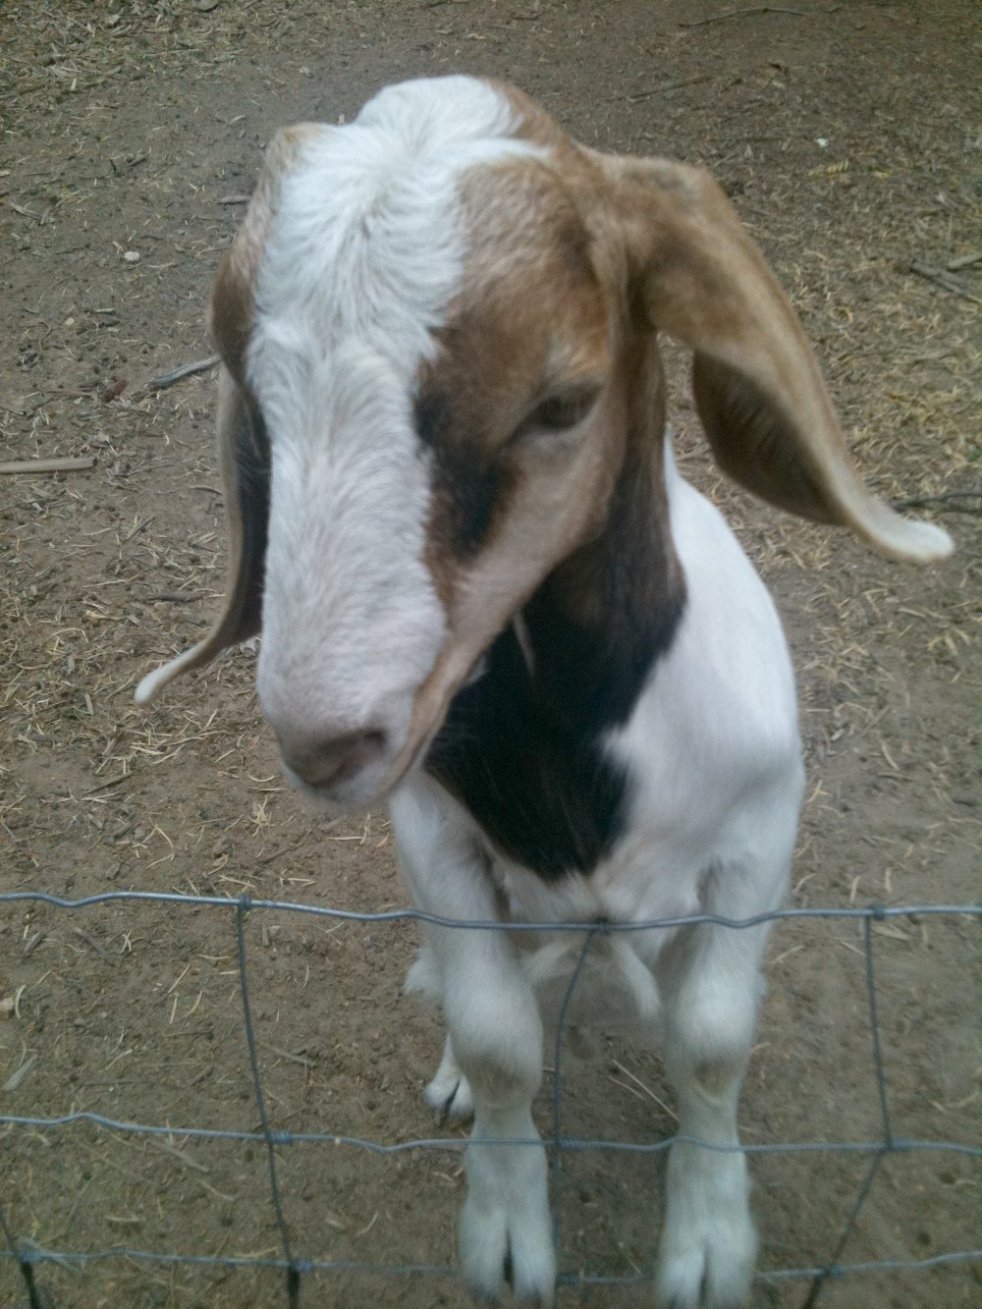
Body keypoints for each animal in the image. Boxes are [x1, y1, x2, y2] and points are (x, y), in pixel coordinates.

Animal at [136, 76, 952, 1307]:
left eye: (562, 403)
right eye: (258, 408)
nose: (324, 740)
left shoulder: (760, 836)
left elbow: (713, 1038)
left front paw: (708, 1237)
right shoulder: (435, 840)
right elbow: (498, 1038)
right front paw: (508, 1228)